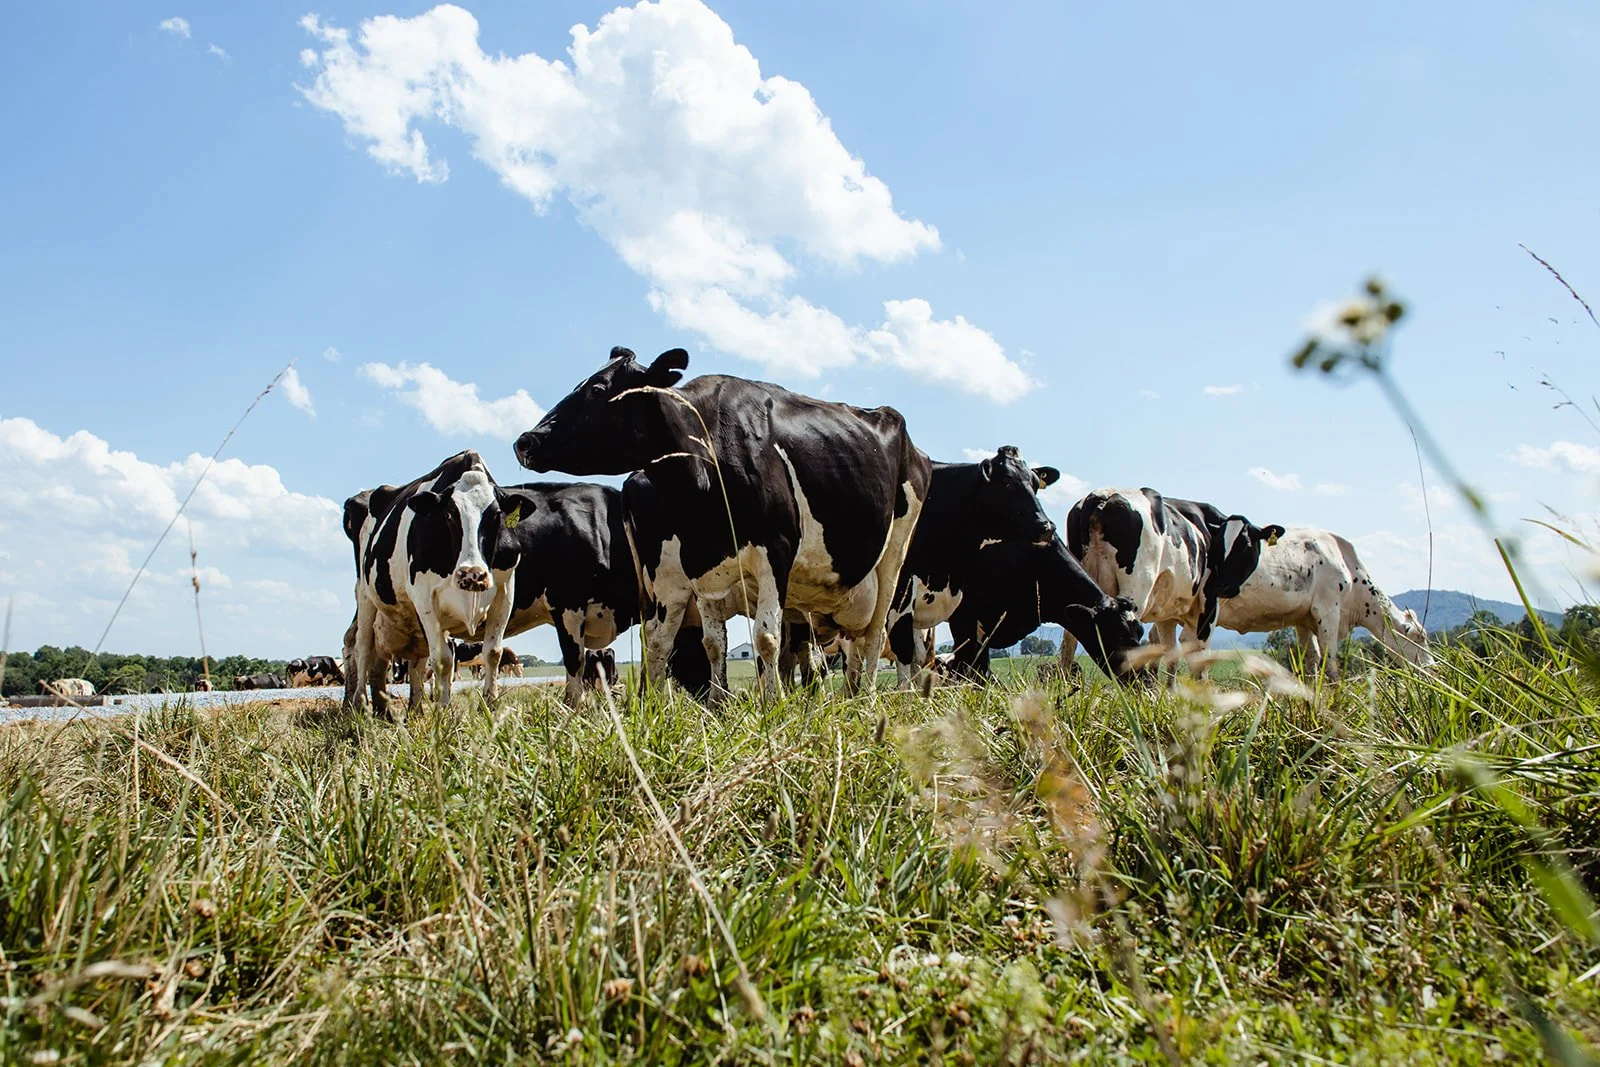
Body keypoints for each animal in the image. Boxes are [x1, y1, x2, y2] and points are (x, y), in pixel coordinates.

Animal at [349, 451, 522, 715]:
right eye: (449, 514)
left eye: (495, 515)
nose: (472, 574)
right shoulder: (425, 597)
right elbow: (442, 660)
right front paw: (443, 712)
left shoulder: (505, 592)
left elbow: (492, 652)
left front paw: (490, 705)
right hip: (366, 596)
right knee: (363, 649)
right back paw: (361, 705)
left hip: (412, 619)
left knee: (416, 662)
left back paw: (413, 708)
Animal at [514, 346, 932, 700]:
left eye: (599, 388)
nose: (525, 441)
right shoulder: (700, 569)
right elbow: (711, 644)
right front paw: (716, 706)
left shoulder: (775, 551)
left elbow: (765, 639)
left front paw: (772, 705)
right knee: (846, 643)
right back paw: (848, 695)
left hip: (893, 561)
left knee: (873, 635)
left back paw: (866, 698)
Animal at [879, 447, 1061, 687]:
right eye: (1007, 483)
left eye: (1035, 484)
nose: (1047, 526)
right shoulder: (900, 589)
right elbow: (904, 648)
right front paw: (904, 694)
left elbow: (933, 656)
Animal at [1063, 488, 1285, 667]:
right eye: (1220, 546)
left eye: (1246, 546)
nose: (1223, 586)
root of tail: (1102, 497)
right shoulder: (1208, 604)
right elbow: (1199, 652)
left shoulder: (1166, 611)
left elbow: (1171, 651)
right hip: (1135, 590)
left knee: (1069, 639)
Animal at [1215, 527, 1433, 679]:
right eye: (1420, 637)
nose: (1434, 668)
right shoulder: (1328, 609)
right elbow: (1330, 660)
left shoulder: (1302, 618)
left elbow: (1311, 659)